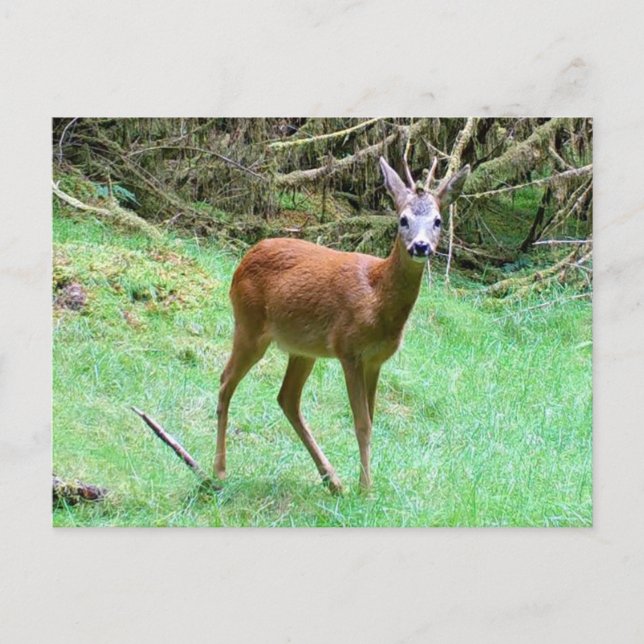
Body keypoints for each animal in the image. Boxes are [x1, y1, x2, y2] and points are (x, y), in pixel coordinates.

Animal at [215, 155, 470, 493]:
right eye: (403, 219)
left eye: (438, 221)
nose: (420, 246)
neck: (377, 300)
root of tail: (244, 259)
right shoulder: (349, 350)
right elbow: (361, 423)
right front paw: (367, 490)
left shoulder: (375, 361)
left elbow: (371, 419)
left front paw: (362, 485)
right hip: (249, 325)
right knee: (225, 381)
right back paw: (219, 471)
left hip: (302, 349)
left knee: (287, 398)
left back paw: (332, 480)